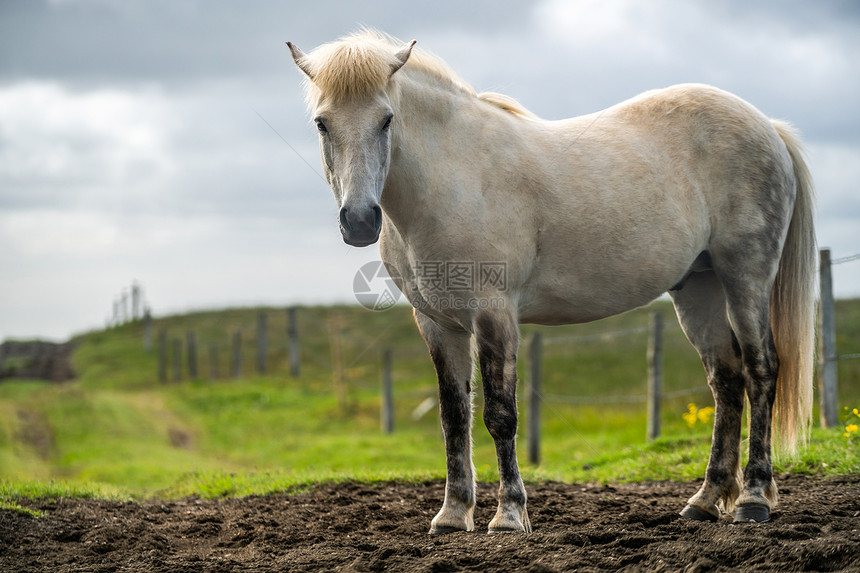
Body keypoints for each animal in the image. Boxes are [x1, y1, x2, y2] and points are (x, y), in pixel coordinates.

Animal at [288, 31, 812, 532]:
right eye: (322, 123)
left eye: (387, 119)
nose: (359, 221)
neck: (454, 178)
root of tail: (769, 127)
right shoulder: (437, 324)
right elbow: (454, 418)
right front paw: (453, 515)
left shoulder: (494, 316)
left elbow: (500, 415)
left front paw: (509, 515)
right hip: (698, 288)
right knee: (726, 381)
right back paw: (704, 502)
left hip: (745, 277)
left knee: (761, 370)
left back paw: (753, 499)